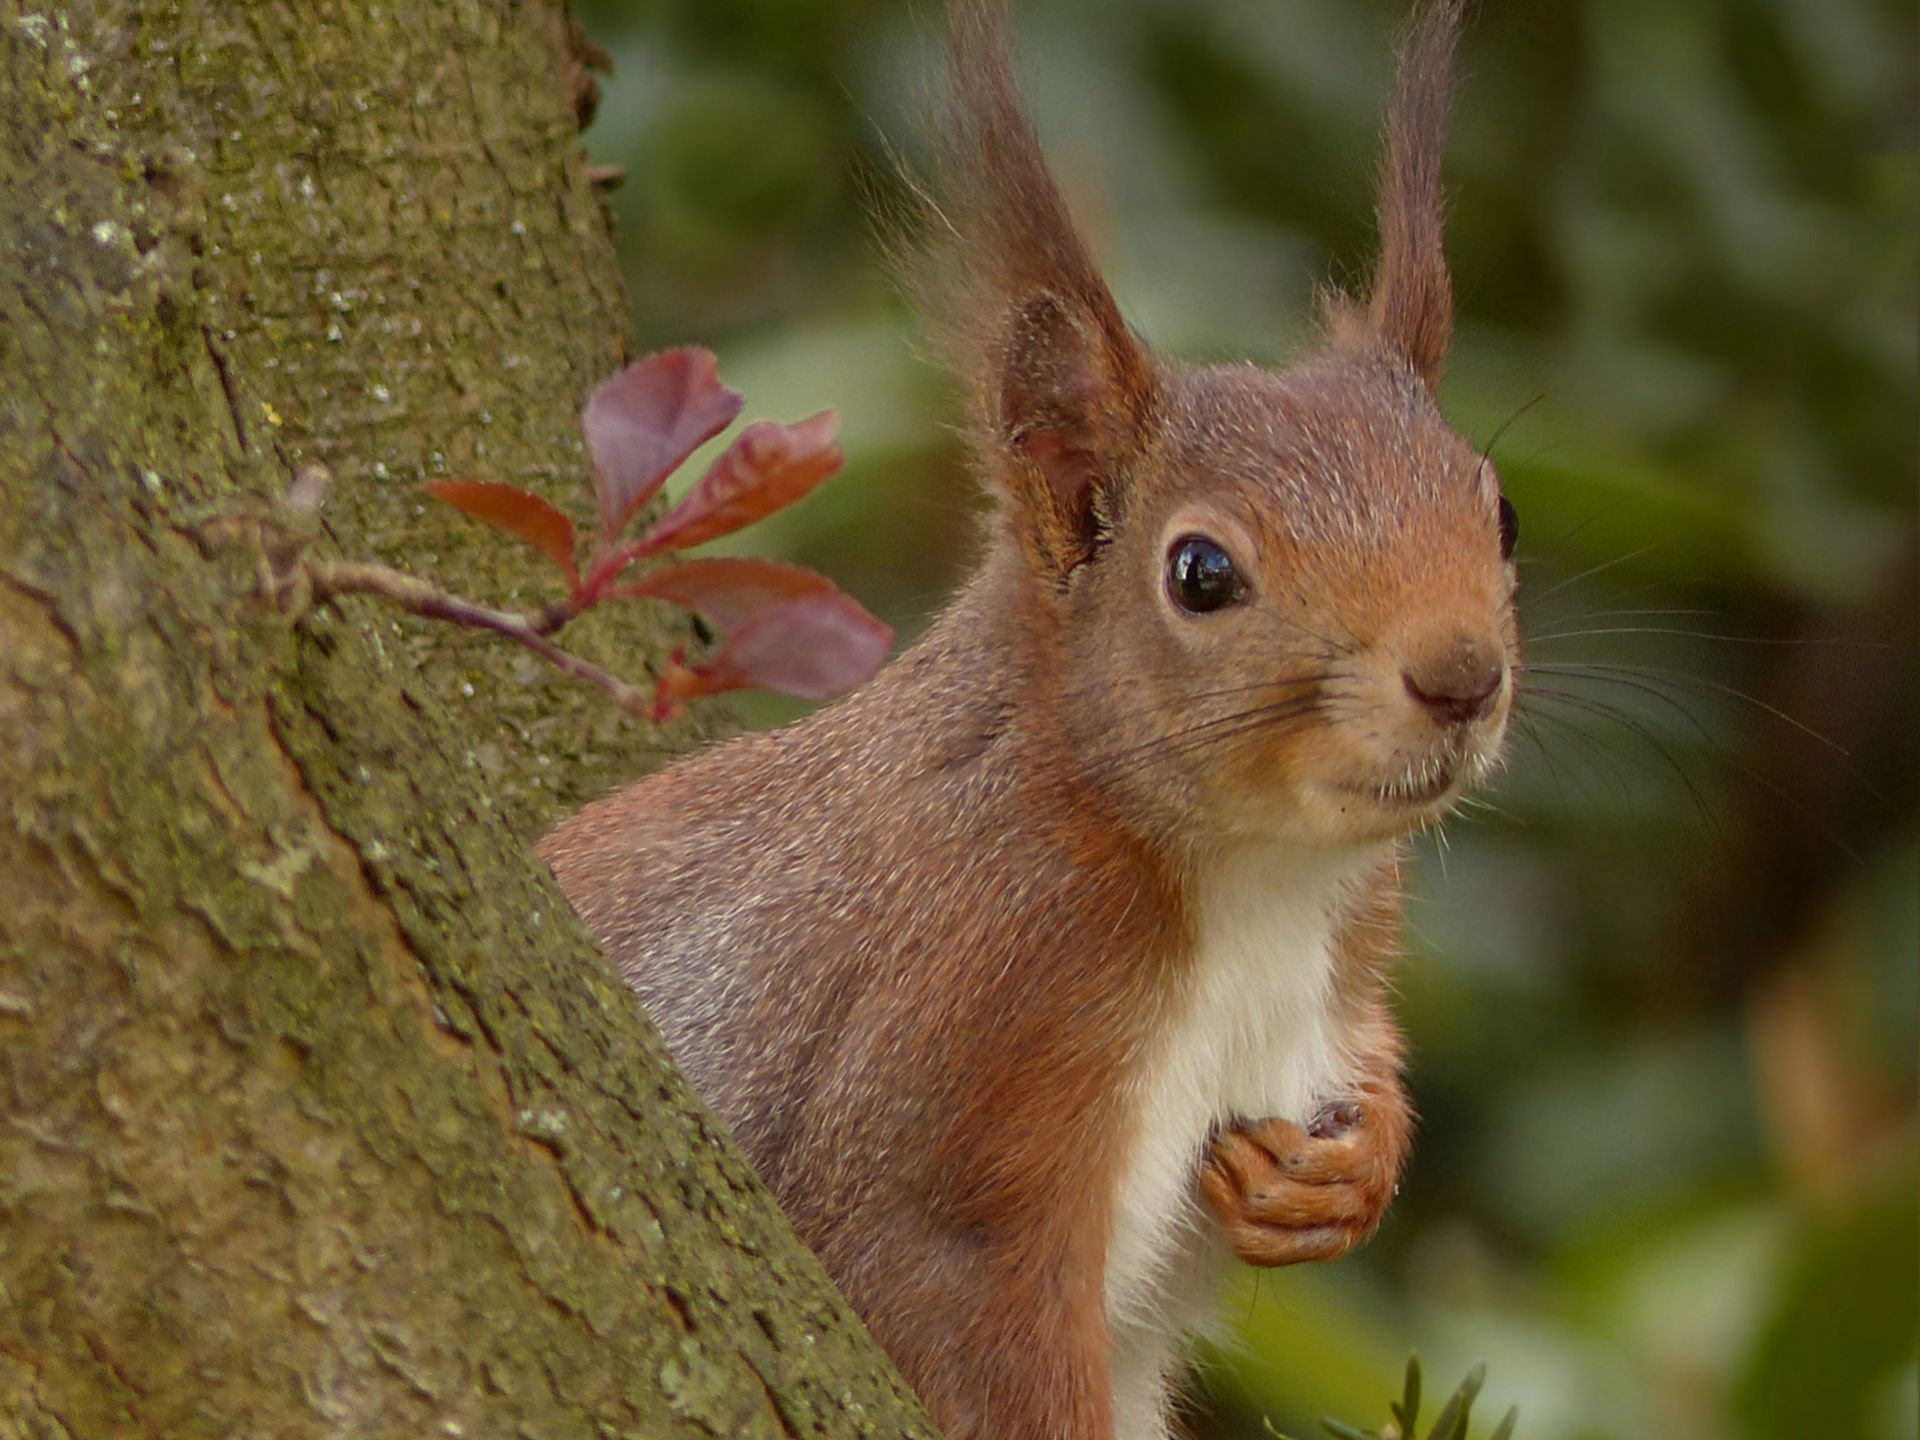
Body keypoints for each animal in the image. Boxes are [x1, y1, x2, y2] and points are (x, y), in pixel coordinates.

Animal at [541, 5, 1512, 1436]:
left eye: (1503, 514)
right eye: (1200, 574)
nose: (1461, 675)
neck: (1256, 876)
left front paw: (1346, 1171)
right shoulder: (976, 1018)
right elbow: (950, 1300)